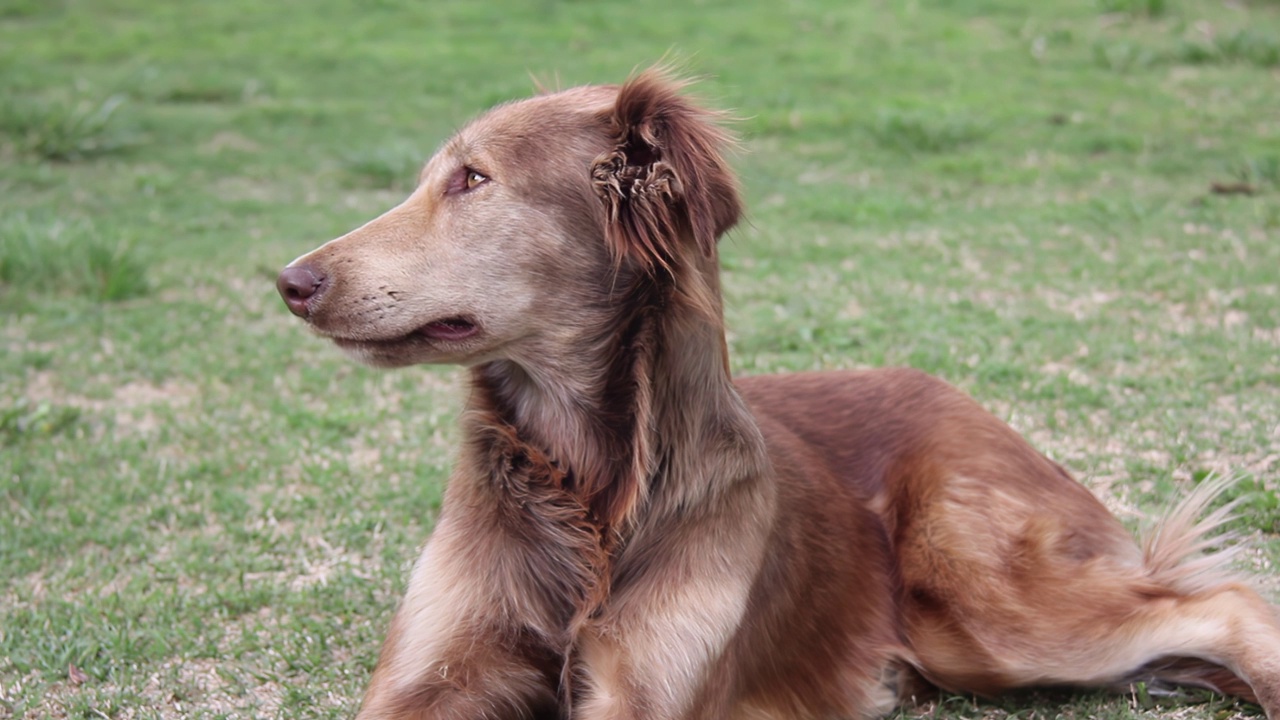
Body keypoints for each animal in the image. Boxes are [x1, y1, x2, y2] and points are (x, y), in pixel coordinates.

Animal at [280, 68, 1280, 717]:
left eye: (473, 179)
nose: (290, 281)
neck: (591, 484)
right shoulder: (432, 673)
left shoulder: (645, 687)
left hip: (985, 609)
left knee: (1222, 606)